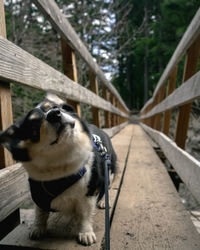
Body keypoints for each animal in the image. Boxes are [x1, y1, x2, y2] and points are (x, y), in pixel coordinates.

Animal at [0, 93, 117, 245]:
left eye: (57, 107)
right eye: (34, 125)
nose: (54, 114)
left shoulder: (88, 193)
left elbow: (84, 215)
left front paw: (85, 233)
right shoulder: (39, 195)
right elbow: (40, 213)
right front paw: (38, 228)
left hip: (110, 170)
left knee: (107, 185)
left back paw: (103, 201)